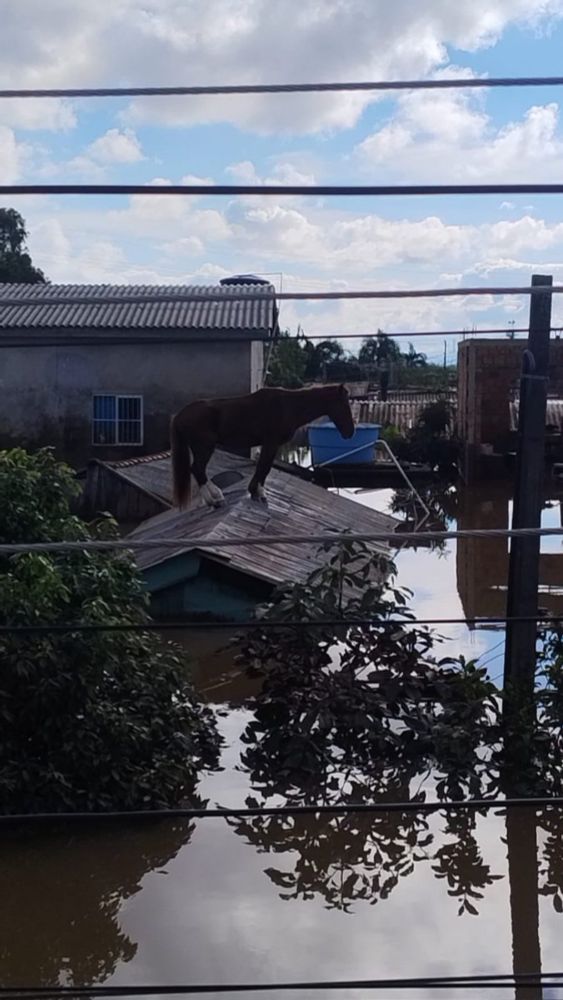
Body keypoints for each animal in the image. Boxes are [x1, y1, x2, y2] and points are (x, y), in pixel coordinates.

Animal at [172, 382, 354, 508]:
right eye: (345, 405)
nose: (350, 432)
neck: (288, 406)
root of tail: (180, 415)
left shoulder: (271, 445)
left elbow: (264, 468)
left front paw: (257, 492)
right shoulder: (271, 443)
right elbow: (264, 467)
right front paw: (257, 492)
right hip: (204, 447)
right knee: (198, 469)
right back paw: (216, 498)